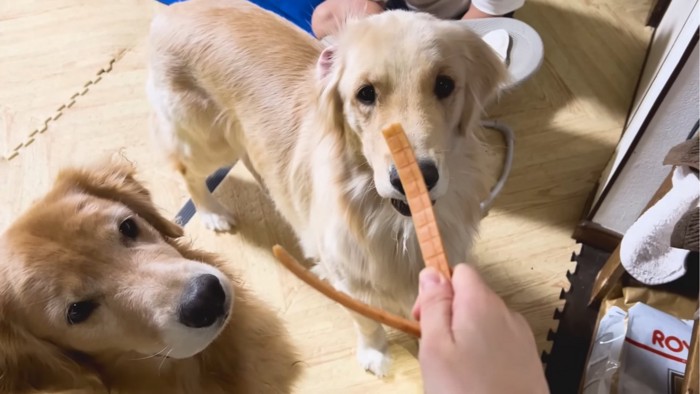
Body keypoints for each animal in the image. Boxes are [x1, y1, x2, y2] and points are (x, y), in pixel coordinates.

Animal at [148, 0, 506, 378]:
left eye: (444, 84)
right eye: (366, 93)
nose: (417, 177)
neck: (392, 224)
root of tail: (173, 11)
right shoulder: (350, 280)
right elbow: (367, 320)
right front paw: (375, 354)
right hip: (207, 141)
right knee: (188, 173)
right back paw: (212, 213)